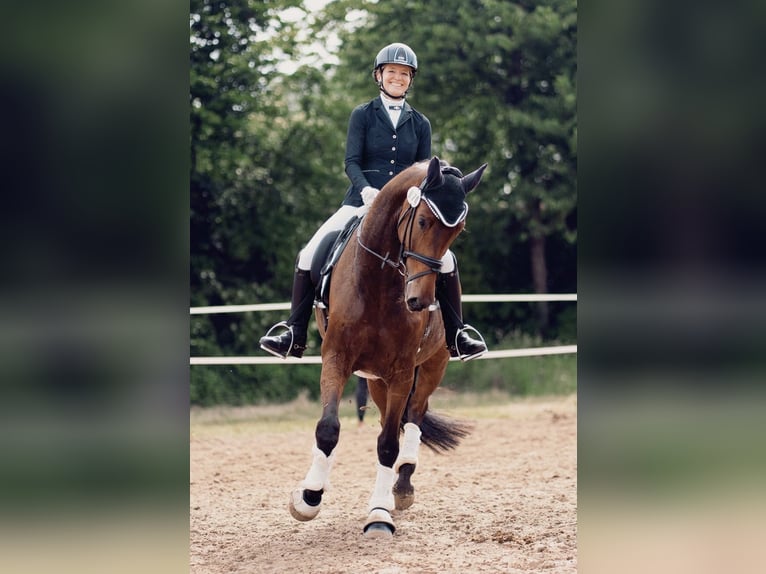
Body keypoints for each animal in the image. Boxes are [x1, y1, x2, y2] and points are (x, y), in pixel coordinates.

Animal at [288, 156, 487, 538]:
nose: (420, 302)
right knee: (387, 420)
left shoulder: (402, 372)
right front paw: (309, 498)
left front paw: (379, 515)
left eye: (458, 230)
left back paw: (403, 485)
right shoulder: (336, 359)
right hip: (376, 379)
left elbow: (388, 444)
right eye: (422, 221)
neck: (378, 283)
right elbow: (328, 429)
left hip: (431, 366)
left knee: (413, 418)